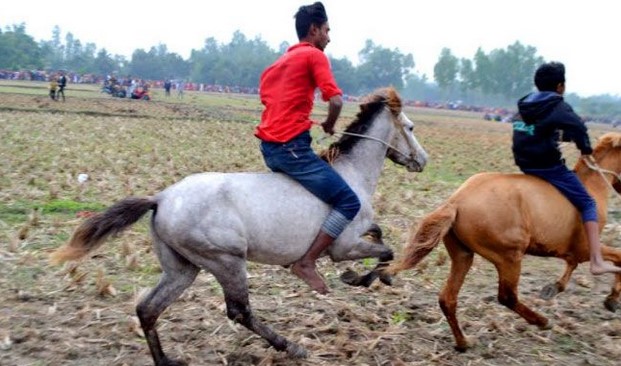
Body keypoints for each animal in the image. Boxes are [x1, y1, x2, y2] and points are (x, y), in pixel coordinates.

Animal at [50, 86, 426, 366]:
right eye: (409, 128)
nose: (422, 160)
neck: (352, 174)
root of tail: (162, 197)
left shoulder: (357, 235)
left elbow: (380, 234)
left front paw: (376, 276)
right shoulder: (343, 246)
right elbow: (385, 250)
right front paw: (364, 277)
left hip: (182, 268)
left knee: (148, 308)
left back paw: (166, 360)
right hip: (227, 260)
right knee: (239, 311)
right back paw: (290, 346)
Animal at [390, 132, 621, 352]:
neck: (591, 185)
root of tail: (456, 201)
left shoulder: (572, 251)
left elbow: (573, 264)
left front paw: (555, 287)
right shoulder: (585, 249)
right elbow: (617, 259)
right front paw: (611, 298)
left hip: (463, 256)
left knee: (447, 298)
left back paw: (463, 342)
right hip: (509, 258)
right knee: (507, 297)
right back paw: (542, 321)